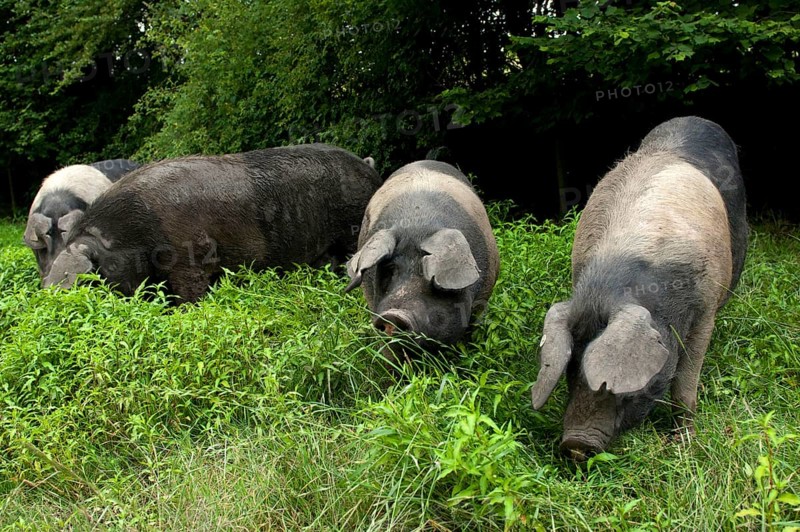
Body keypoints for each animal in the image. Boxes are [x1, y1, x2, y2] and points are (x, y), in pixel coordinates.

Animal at [42, 143, 382, 303]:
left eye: (87, 283)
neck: (132, 236)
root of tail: (369, 169)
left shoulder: (190, 259)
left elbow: (189, 295)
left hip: (350, 231)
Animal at [529, 115, 748, 460]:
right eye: (570, 369)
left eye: (615, 385)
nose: (575, 444)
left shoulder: (704, 311)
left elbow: (684, 385)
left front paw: (684, 444)